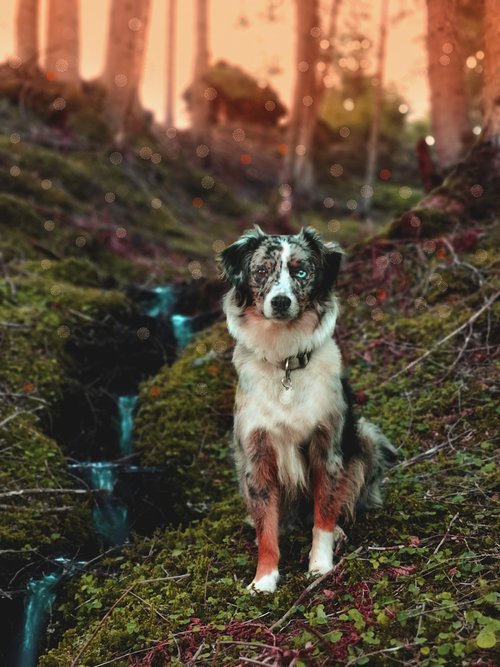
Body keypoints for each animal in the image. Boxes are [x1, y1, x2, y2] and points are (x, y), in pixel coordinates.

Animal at [219, 227, 394, 592]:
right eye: (261, 271)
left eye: (301, 272)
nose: (280, 301)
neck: (285, 359)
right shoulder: (255, 454)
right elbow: (267, 526)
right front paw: (264, 578)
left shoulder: (326, 446)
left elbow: (324, 514)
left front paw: (320, 565)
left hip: (366, 437)